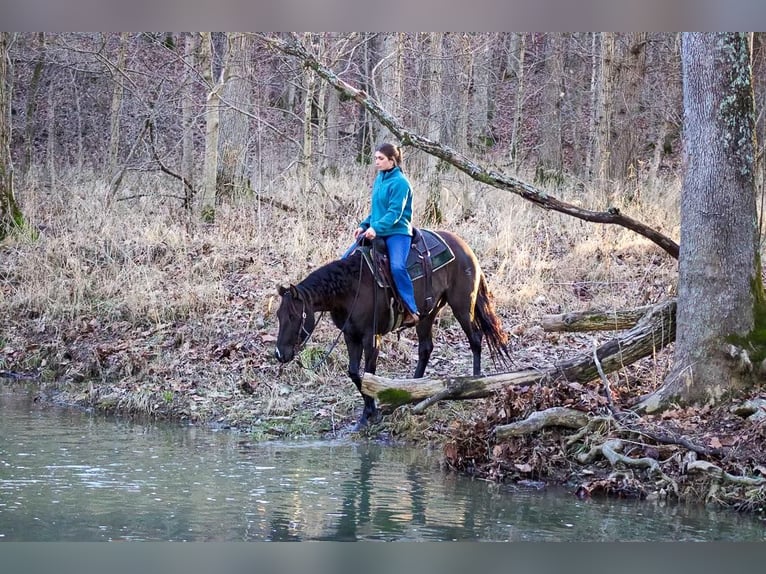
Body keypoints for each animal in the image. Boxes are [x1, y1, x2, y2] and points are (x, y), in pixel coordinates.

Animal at [272, 232, 512, 430]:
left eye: (293, 316)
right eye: (278, 316)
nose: (280, 354)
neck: (350, 289)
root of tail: (466, 248)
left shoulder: (371, 336)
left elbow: (368, 373)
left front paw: (369, 414)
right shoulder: (351, 335)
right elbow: (354, 373)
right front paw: (371, 412)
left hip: (462, 304)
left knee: (475, 338)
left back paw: (476, 382)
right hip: (427, 313)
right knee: (426, 348)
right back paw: (413, 390)